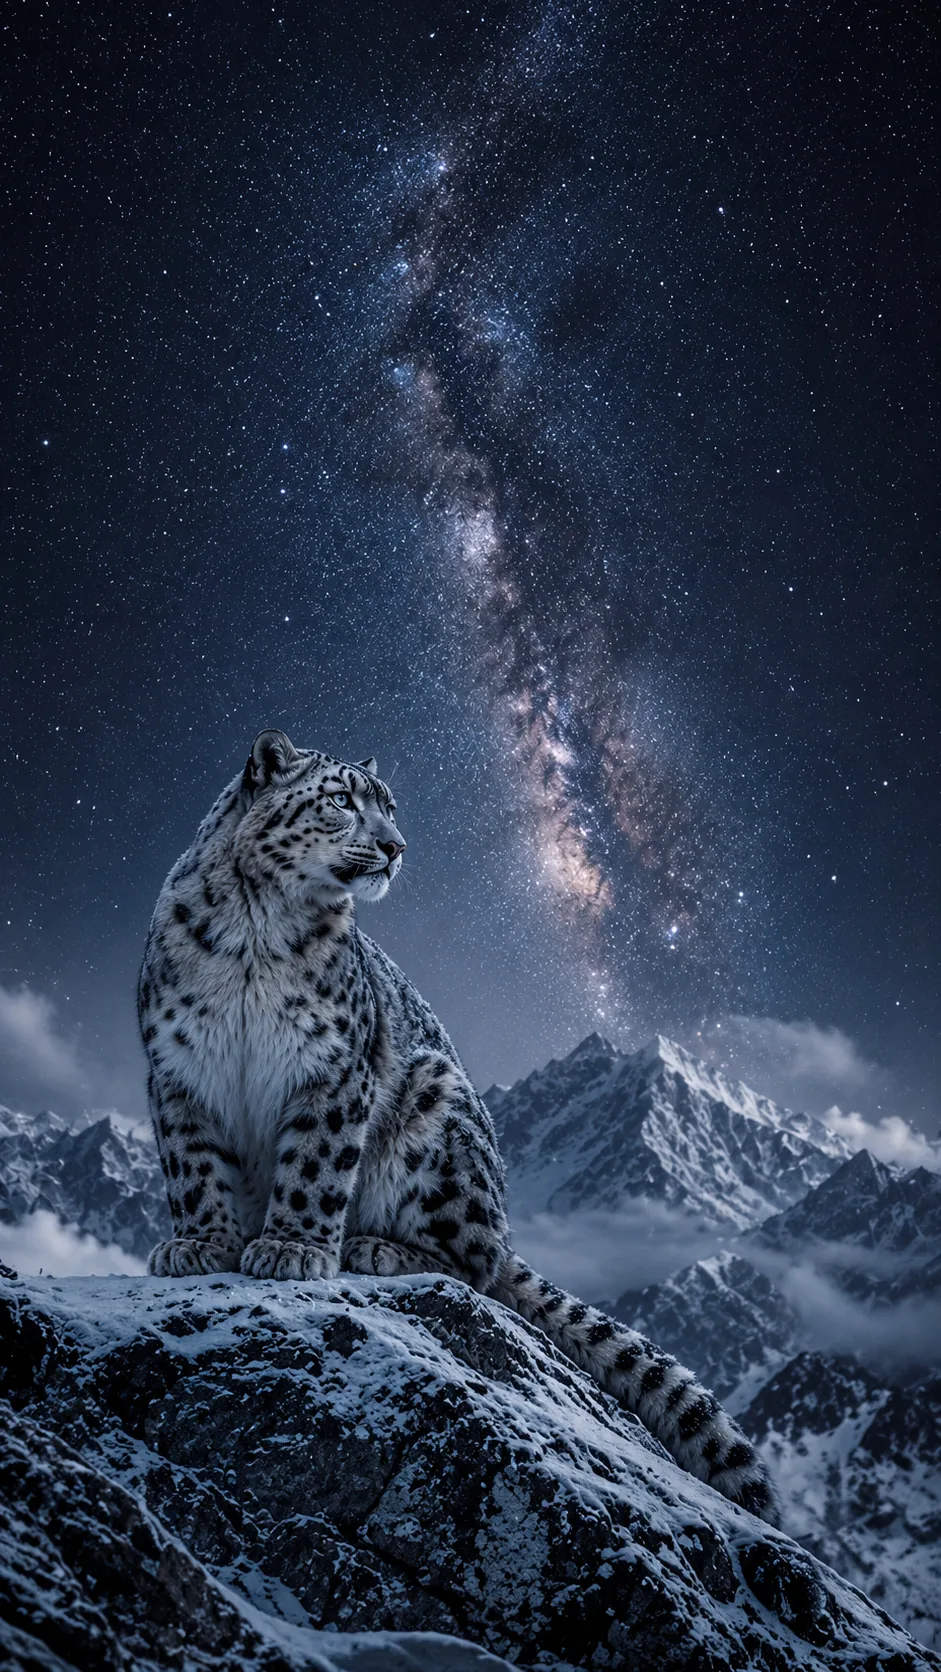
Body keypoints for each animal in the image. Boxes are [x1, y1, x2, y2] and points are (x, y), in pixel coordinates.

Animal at [139, 728, 778, 1522]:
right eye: (340, 798)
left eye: (390, 806)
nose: (396, 847)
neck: (257, 928)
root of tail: (503, 1223)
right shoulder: (178, 1070)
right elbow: (193, 1168)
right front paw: (200, 1245)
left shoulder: (333, 1069)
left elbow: (315, 1166)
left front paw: (291, 1249)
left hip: (437, 1114)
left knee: (475, 1264)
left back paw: (375, 1248)